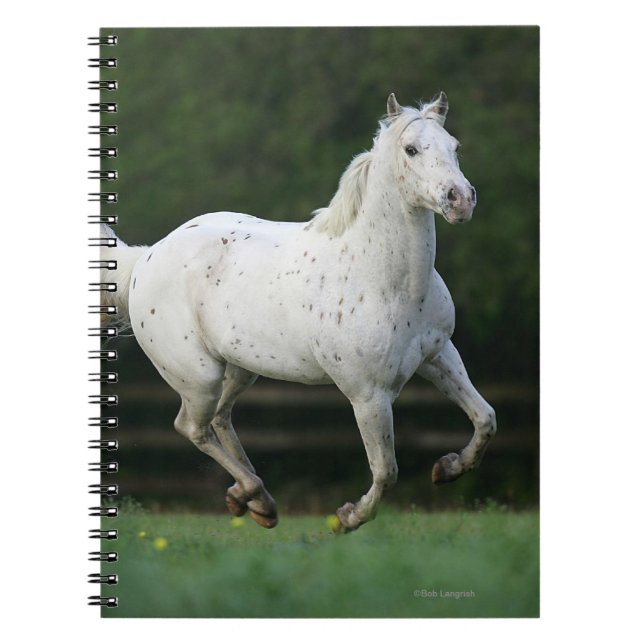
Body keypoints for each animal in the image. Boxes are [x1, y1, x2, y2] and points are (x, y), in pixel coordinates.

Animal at [101, 92, 496, 533]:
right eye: (411, 150)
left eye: (454, 146)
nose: (460, 200)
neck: (385, 280)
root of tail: (146, 258)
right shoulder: (368, 394)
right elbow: (386, 470)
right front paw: (347, 518)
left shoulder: (438, 355)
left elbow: (485, 418)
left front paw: (448, 468)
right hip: (199, 377)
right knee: (192, 427)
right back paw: (254, 495)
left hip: (241, 369)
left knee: (220, 419)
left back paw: (254, 500)